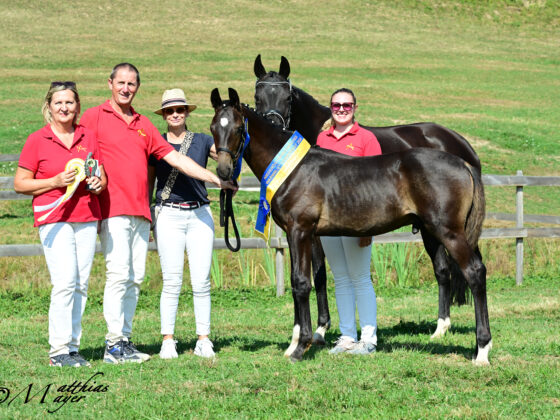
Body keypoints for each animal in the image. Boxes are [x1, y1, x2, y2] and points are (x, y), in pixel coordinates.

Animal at [209, 88, 490, 364]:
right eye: (213, 127)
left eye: (238, 128)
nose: (223, 171)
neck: (292, 168)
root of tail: (464, 163)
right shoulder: (293, 234)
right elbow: (294, 282)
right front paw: (292, 344)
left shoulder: (301, 230)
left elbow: (302, 282)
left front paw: (301, 348)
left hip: (449, 233)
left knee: (474, 272)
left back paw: (482, 350)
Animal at [256, 54, 484, 340]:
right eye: (258, 96)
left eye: (287, 97)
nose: (273, 126)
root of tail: (462, 146)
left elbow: (318, 274)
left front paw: (319, 328)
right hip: (430, 228)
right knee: (443, 271)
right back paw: (440, 327)